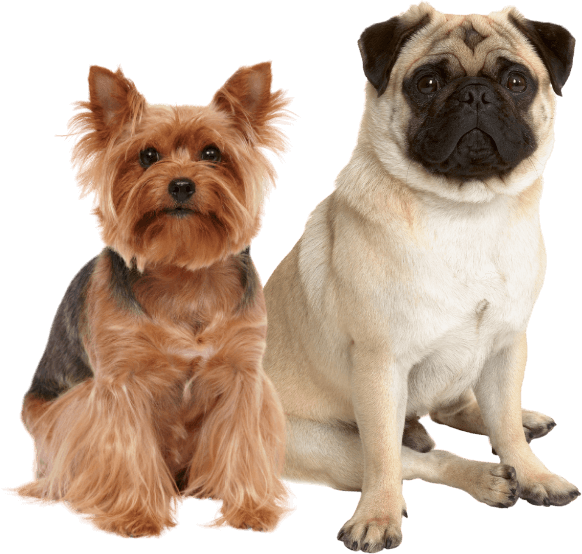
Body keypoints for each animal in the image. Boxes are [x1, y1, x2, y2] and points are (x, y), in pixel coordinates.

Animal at [264, 3, 580, 548]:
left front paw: (534, 473)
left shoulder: (506, 346)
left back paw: (523, 422)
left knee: (470, 411)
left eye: (516, 81)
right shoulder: (381, 363)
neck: (466, 213)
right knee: (416, 458)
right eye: (428, 83)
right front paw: (378, 517)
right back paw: (485, 478)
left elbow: (505, 427)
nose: (476, 94)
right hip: (328, 446)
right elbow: (385, 460)